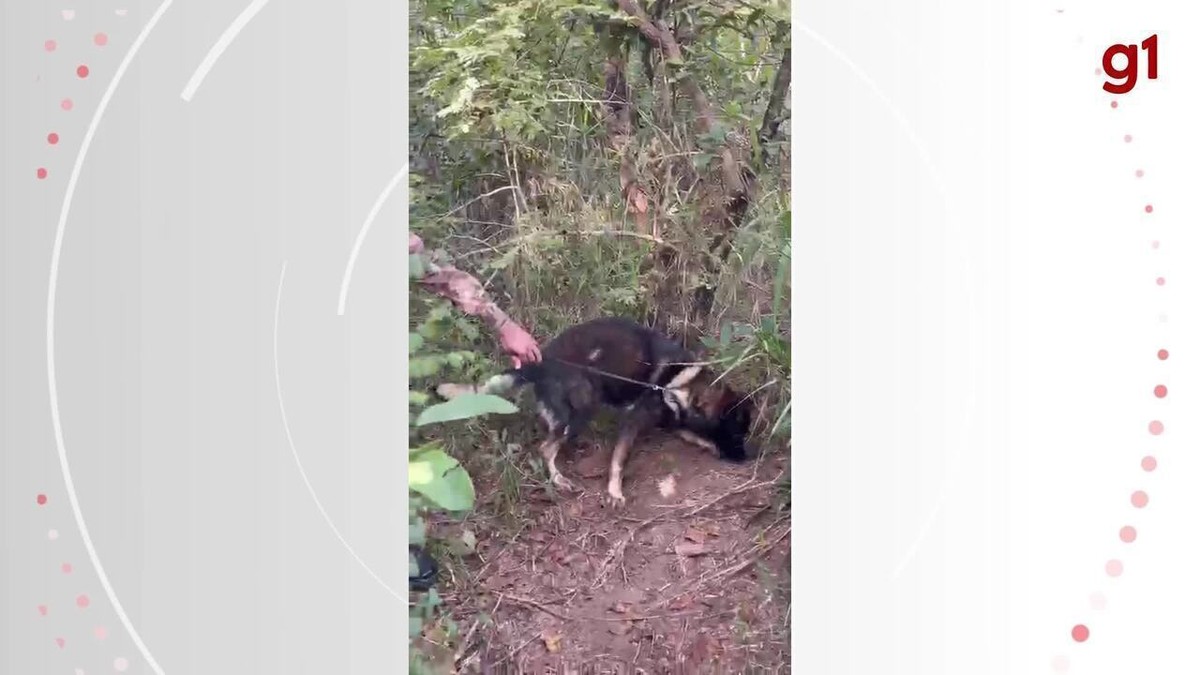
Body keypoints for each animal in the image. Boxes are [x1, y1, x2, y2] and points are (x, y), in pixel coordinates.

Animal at [432, 314, 748, 504]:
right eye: (736, 432)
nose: (748, 458)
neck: (679, 384)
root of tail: (541, 364)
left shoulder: (673, 421)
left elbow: (694, 435)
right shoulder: (634, 422)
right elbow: (619, 460)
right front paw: (614, 490)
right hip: (581, 410)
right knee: (546, 448)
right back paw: (559, 479)